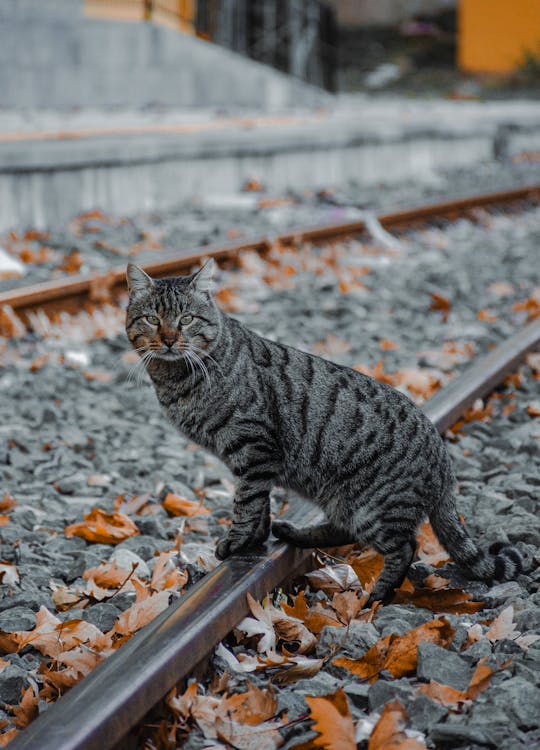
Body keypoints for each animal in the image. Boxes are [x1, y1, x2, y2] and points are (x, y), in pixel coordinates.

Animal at [125, 262, 524, 604]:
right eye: (153, 319)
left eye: (187, 319)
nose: (169, 339)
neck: (175, 377)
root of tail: (444, 461)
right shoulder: (255, 461)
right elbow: (260, 505)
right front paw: (255, 540)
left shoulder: (253, 448)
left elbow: (246, 502)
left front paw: (236, 543)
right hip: (345, 501)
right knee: (346, 531)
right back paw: (293, 534)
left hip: (375, 506)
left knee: (404, 548)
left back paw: (377, 596)